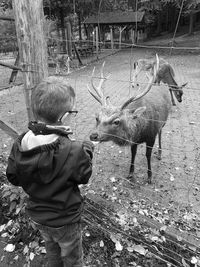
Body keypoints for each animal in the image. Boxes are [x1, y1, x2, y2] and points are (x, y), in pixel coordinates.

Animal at [88, 55, 171, 185]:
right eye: (97, 117)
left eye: (116, 121)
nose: (93, 135)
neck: (140, 131)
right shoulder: (134, 140)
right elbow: (133, 154)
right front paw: (130, 173)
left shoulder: (151, 136)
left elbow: (148, 155)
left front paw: (149, 176)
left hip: (163, 123)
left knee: (161, 133)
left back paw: (160, 153)